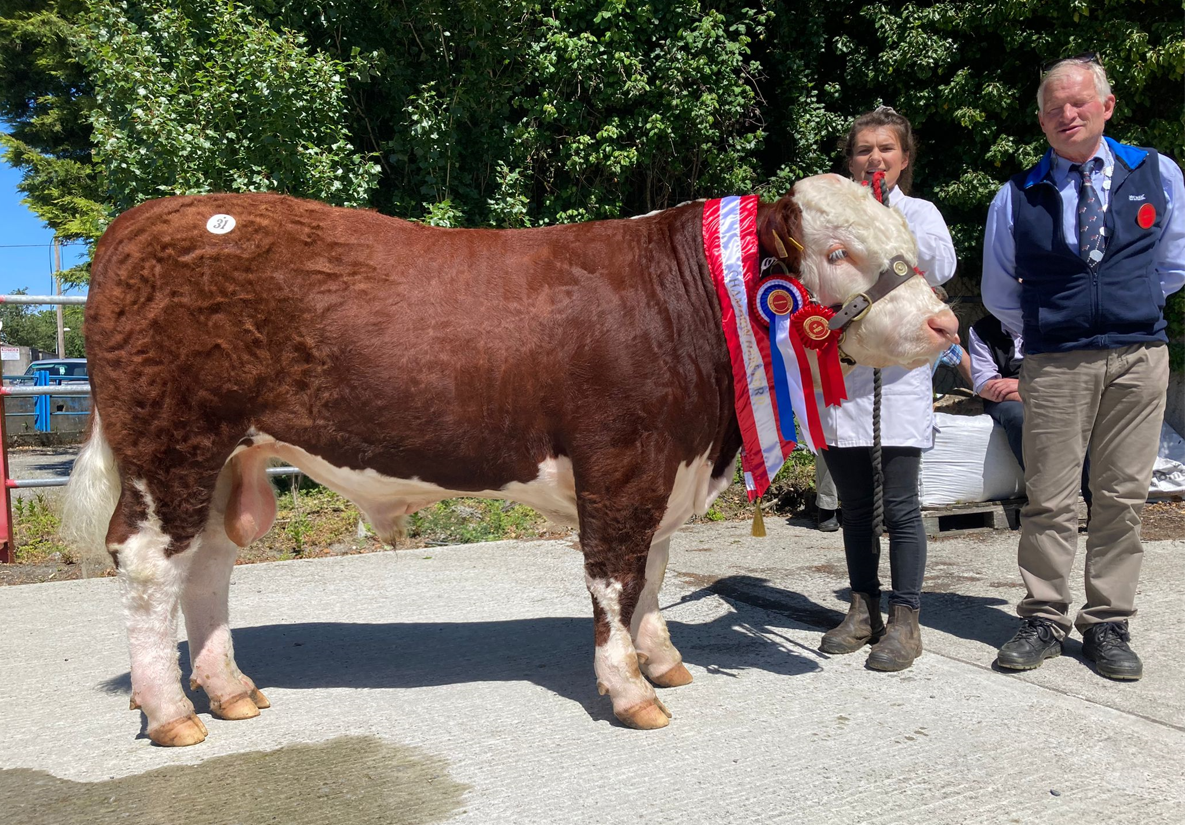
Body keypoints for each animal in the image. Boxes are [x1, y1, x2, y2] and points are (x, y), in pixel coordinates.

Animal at [61, 174, 959, 746]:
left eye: (908, 241)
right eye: (836, 250)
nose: (946, 324)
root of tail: (151, 217)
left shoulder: (667, 468)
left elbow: (654, 573)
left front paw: (663, 661)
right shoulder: (619, 466)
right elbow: (614, 578)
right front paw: (629, 689)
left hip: (223, 461)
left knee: (207, 563)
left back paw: (229, 690)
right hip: (170, 446)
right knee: (148, 565)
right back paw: (170, 710)